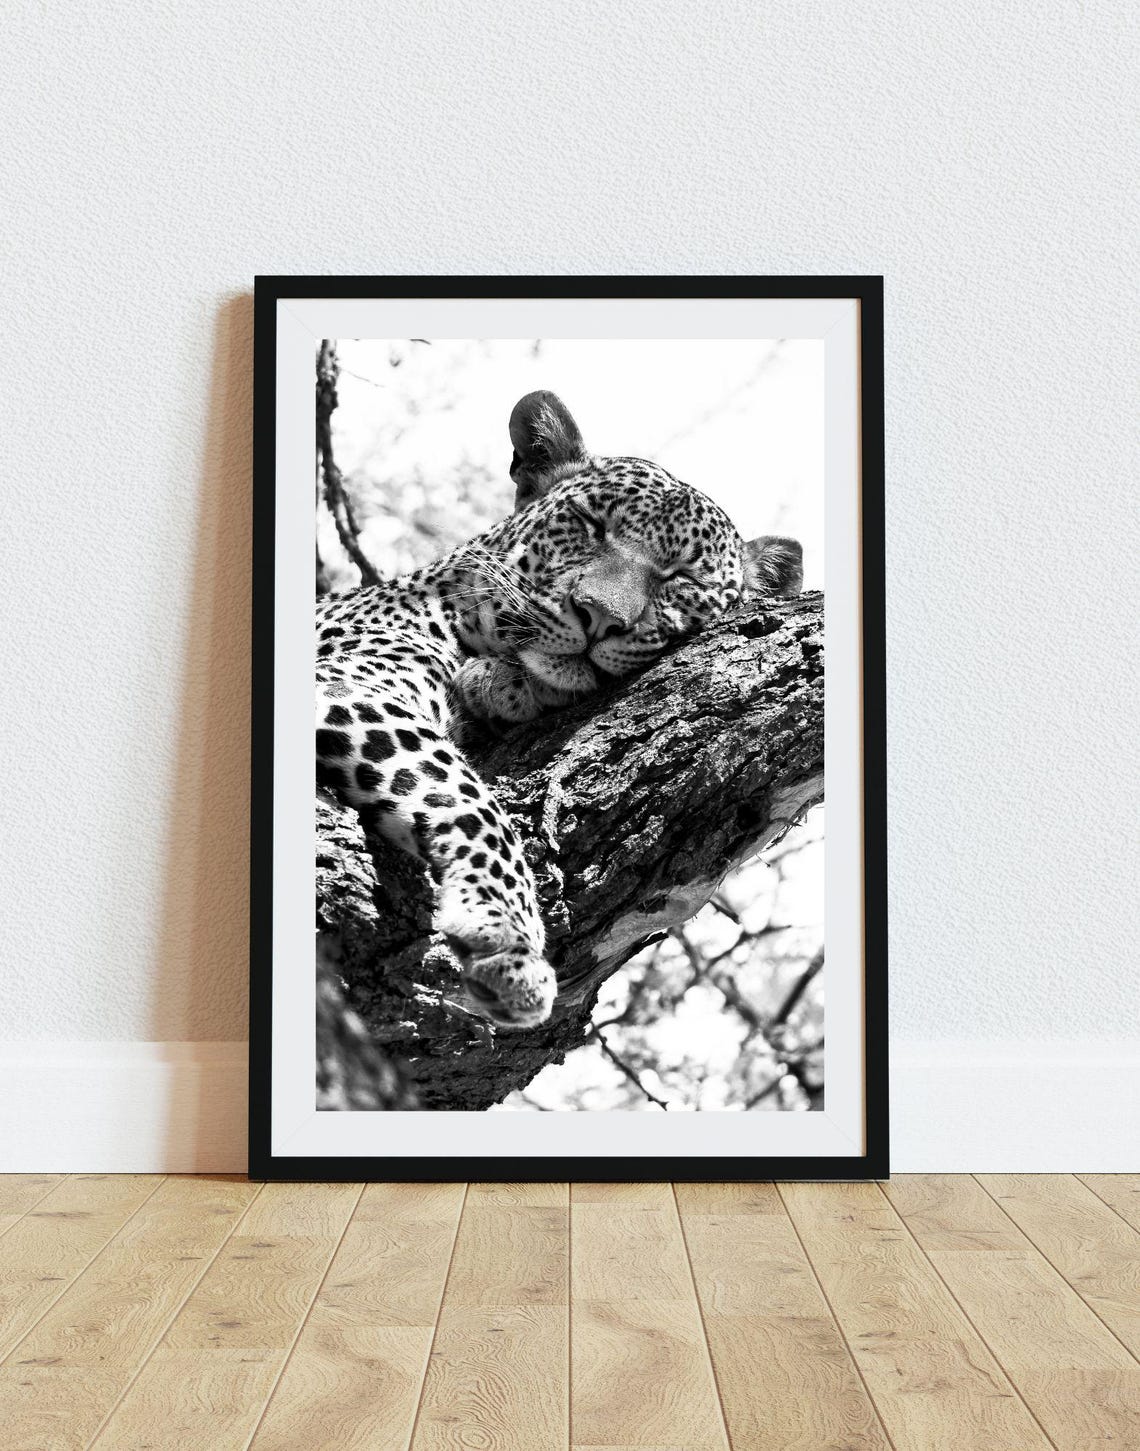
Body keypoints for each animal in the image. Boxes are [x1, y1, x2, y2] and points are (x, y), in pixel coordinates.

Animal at [316, 390, 803, 1031]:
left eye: (680, 577)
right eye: (593, 526)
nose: (599, 615)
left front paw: (497, 688)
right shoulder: (345, 679)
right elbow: (472, 802)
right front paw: (507, 936)